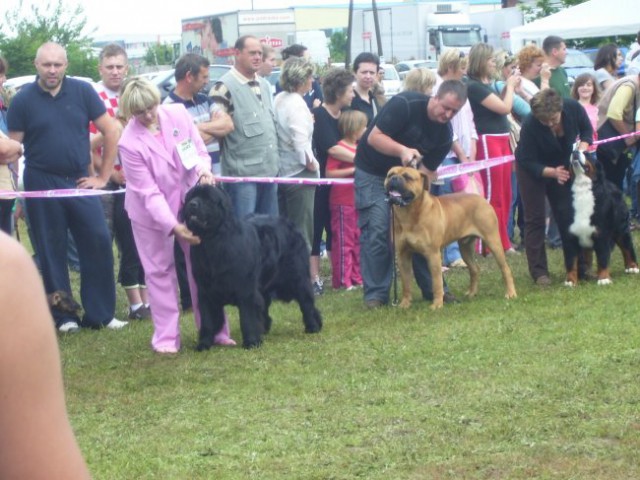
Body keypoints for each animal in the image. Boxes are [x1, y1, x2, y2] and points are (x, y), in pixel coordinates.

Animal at [179, 184, 320, 348]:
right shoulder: (205, 291)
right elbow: (207, 320)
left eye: (207, 199)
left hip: (297, 278)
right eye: (191, 197)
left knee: (306, 301)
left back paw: (313, 326)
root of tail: (290, 224)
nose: (192, 204)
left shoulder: (246, 289)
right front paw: (204, 344)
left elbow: (248, 316)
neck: (213, 242)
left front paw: (252, 341)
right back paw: (265, 328)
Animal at [384, 167, 516, 310]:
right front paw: (405, 304)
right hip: (465, 248)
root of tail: (482, 199)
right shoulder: (403, 255)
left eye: (407, 177)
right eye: (390, 174)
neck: (408, 214)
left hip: (493, 241)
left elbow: (437, 282)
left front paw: (437, 304)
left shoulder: (433, 255)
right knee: (474, 269)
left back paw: (511, 293)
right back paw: (472, 293)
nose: (394, 178)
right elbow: (406, 283)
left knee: (505, 269)